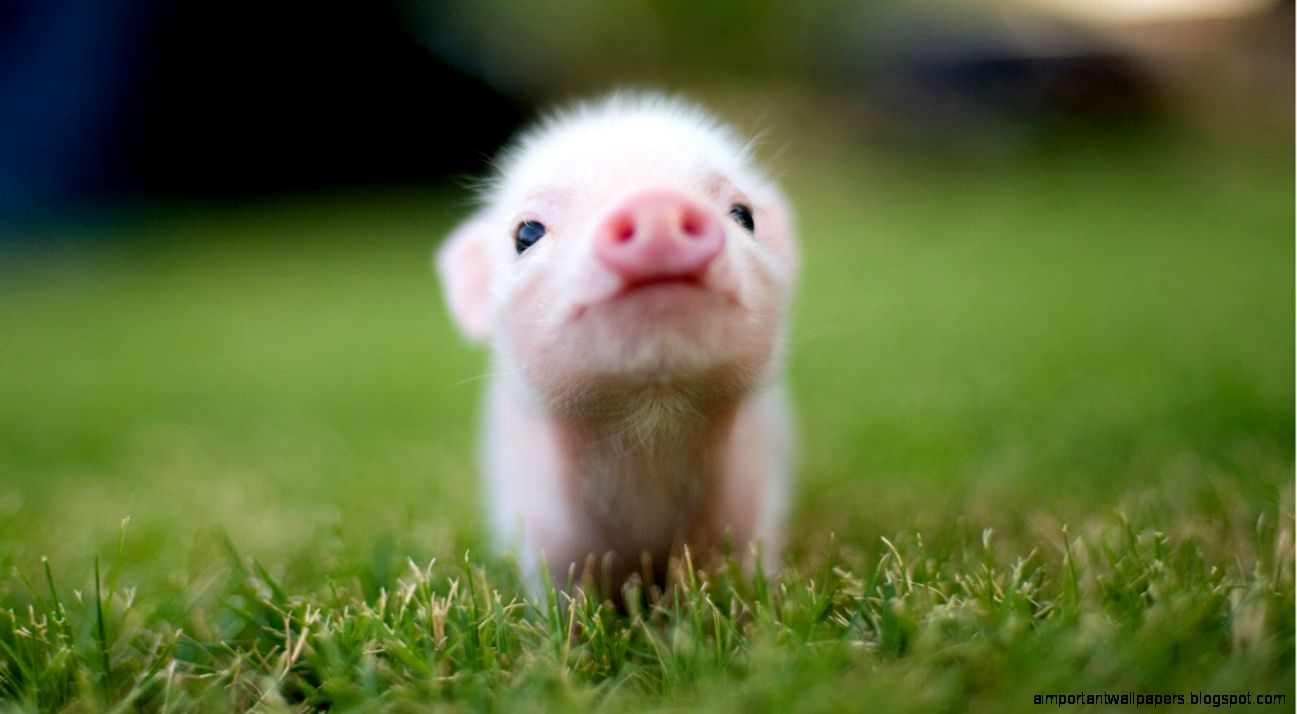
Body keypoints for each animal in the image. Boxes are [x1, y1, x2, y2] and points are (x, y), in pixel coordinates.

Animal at [436, 93, 798, 595]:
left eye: (743, 215)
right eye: (526, 233)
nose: (655, 203)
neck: (650, 431)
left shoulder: (756, 494)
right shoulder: (540, 522)